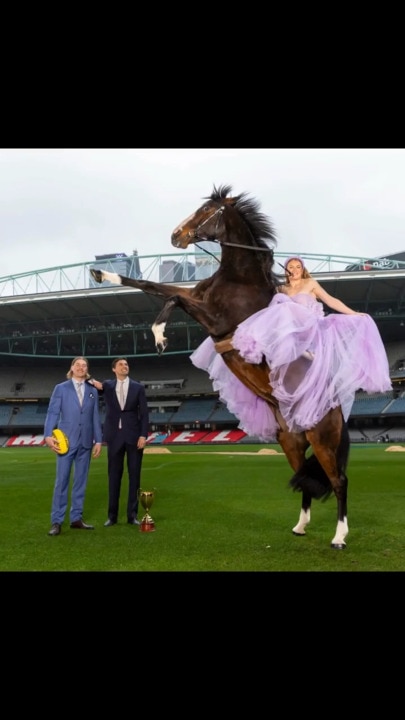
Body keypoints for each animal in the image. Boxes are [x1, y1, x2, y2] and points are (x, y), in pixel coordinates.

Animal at [90, 183, 348, 548]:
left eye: (207, 212)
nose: (176, 236)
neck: (240, 280)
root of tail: (337, 406)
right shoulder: (199, 303)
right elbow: (153, 287)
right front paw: (102, 272)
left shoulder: (216, 320)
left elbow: (173, 298)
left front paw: (159, 336)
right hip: (292, 440)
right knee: (305, 477)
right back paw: (300, 526)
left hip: (323, 439)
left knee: (339, 480)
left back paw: (339, 536)